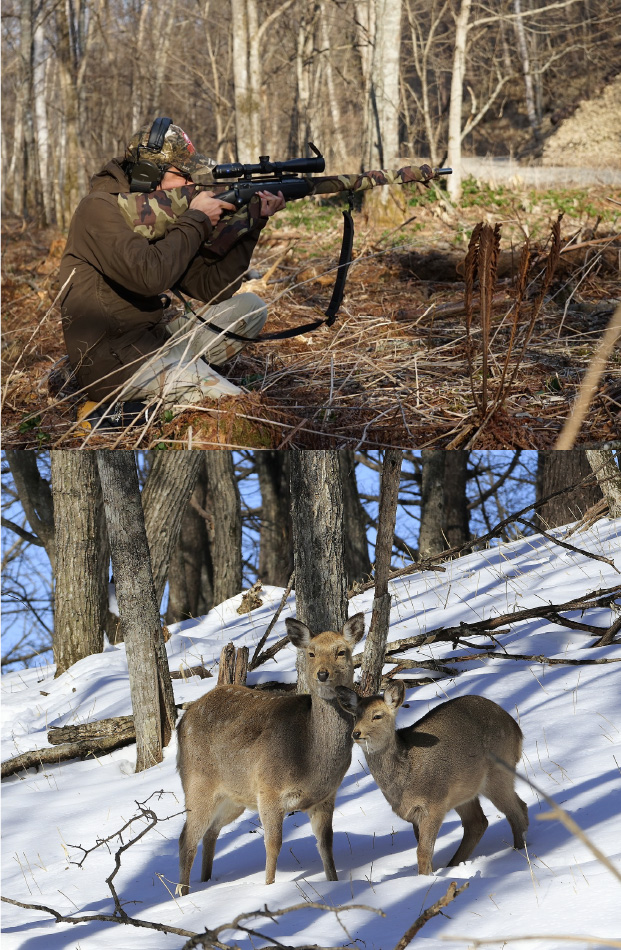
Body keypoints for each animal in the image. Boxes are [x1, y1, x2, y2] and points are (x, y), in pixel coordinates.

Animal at [177, 612, 366, 896]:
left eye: (341, 651)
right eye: (311, 653)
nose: (322, 674)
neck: (307, 756)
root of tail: (183, 719)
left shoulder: (326, 797)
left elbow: (326, 845)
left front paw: (334, 883)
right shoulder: (269, 790)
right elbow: (273, 845)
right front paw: (268, 887)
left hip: (233, 797)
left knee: (211, 832)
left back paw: (206, 881)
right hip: (197, 782)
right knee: (186, 838)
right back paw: (183, 893)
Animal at [336, 684, 524, 876]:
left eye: (377, 716)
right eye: (356, 715)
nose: (356, 733)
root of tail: (517, 730)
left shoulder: (433, 805)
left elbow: (423, 851)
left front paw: (424, 878)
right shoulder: (415, 814)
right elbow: (423, 850)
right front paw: (429, 875)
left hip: (499, 773)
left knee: (515, 811)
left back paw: (518, 852)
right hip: (464, 792)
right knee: (480, 822)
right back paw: (454, 865)